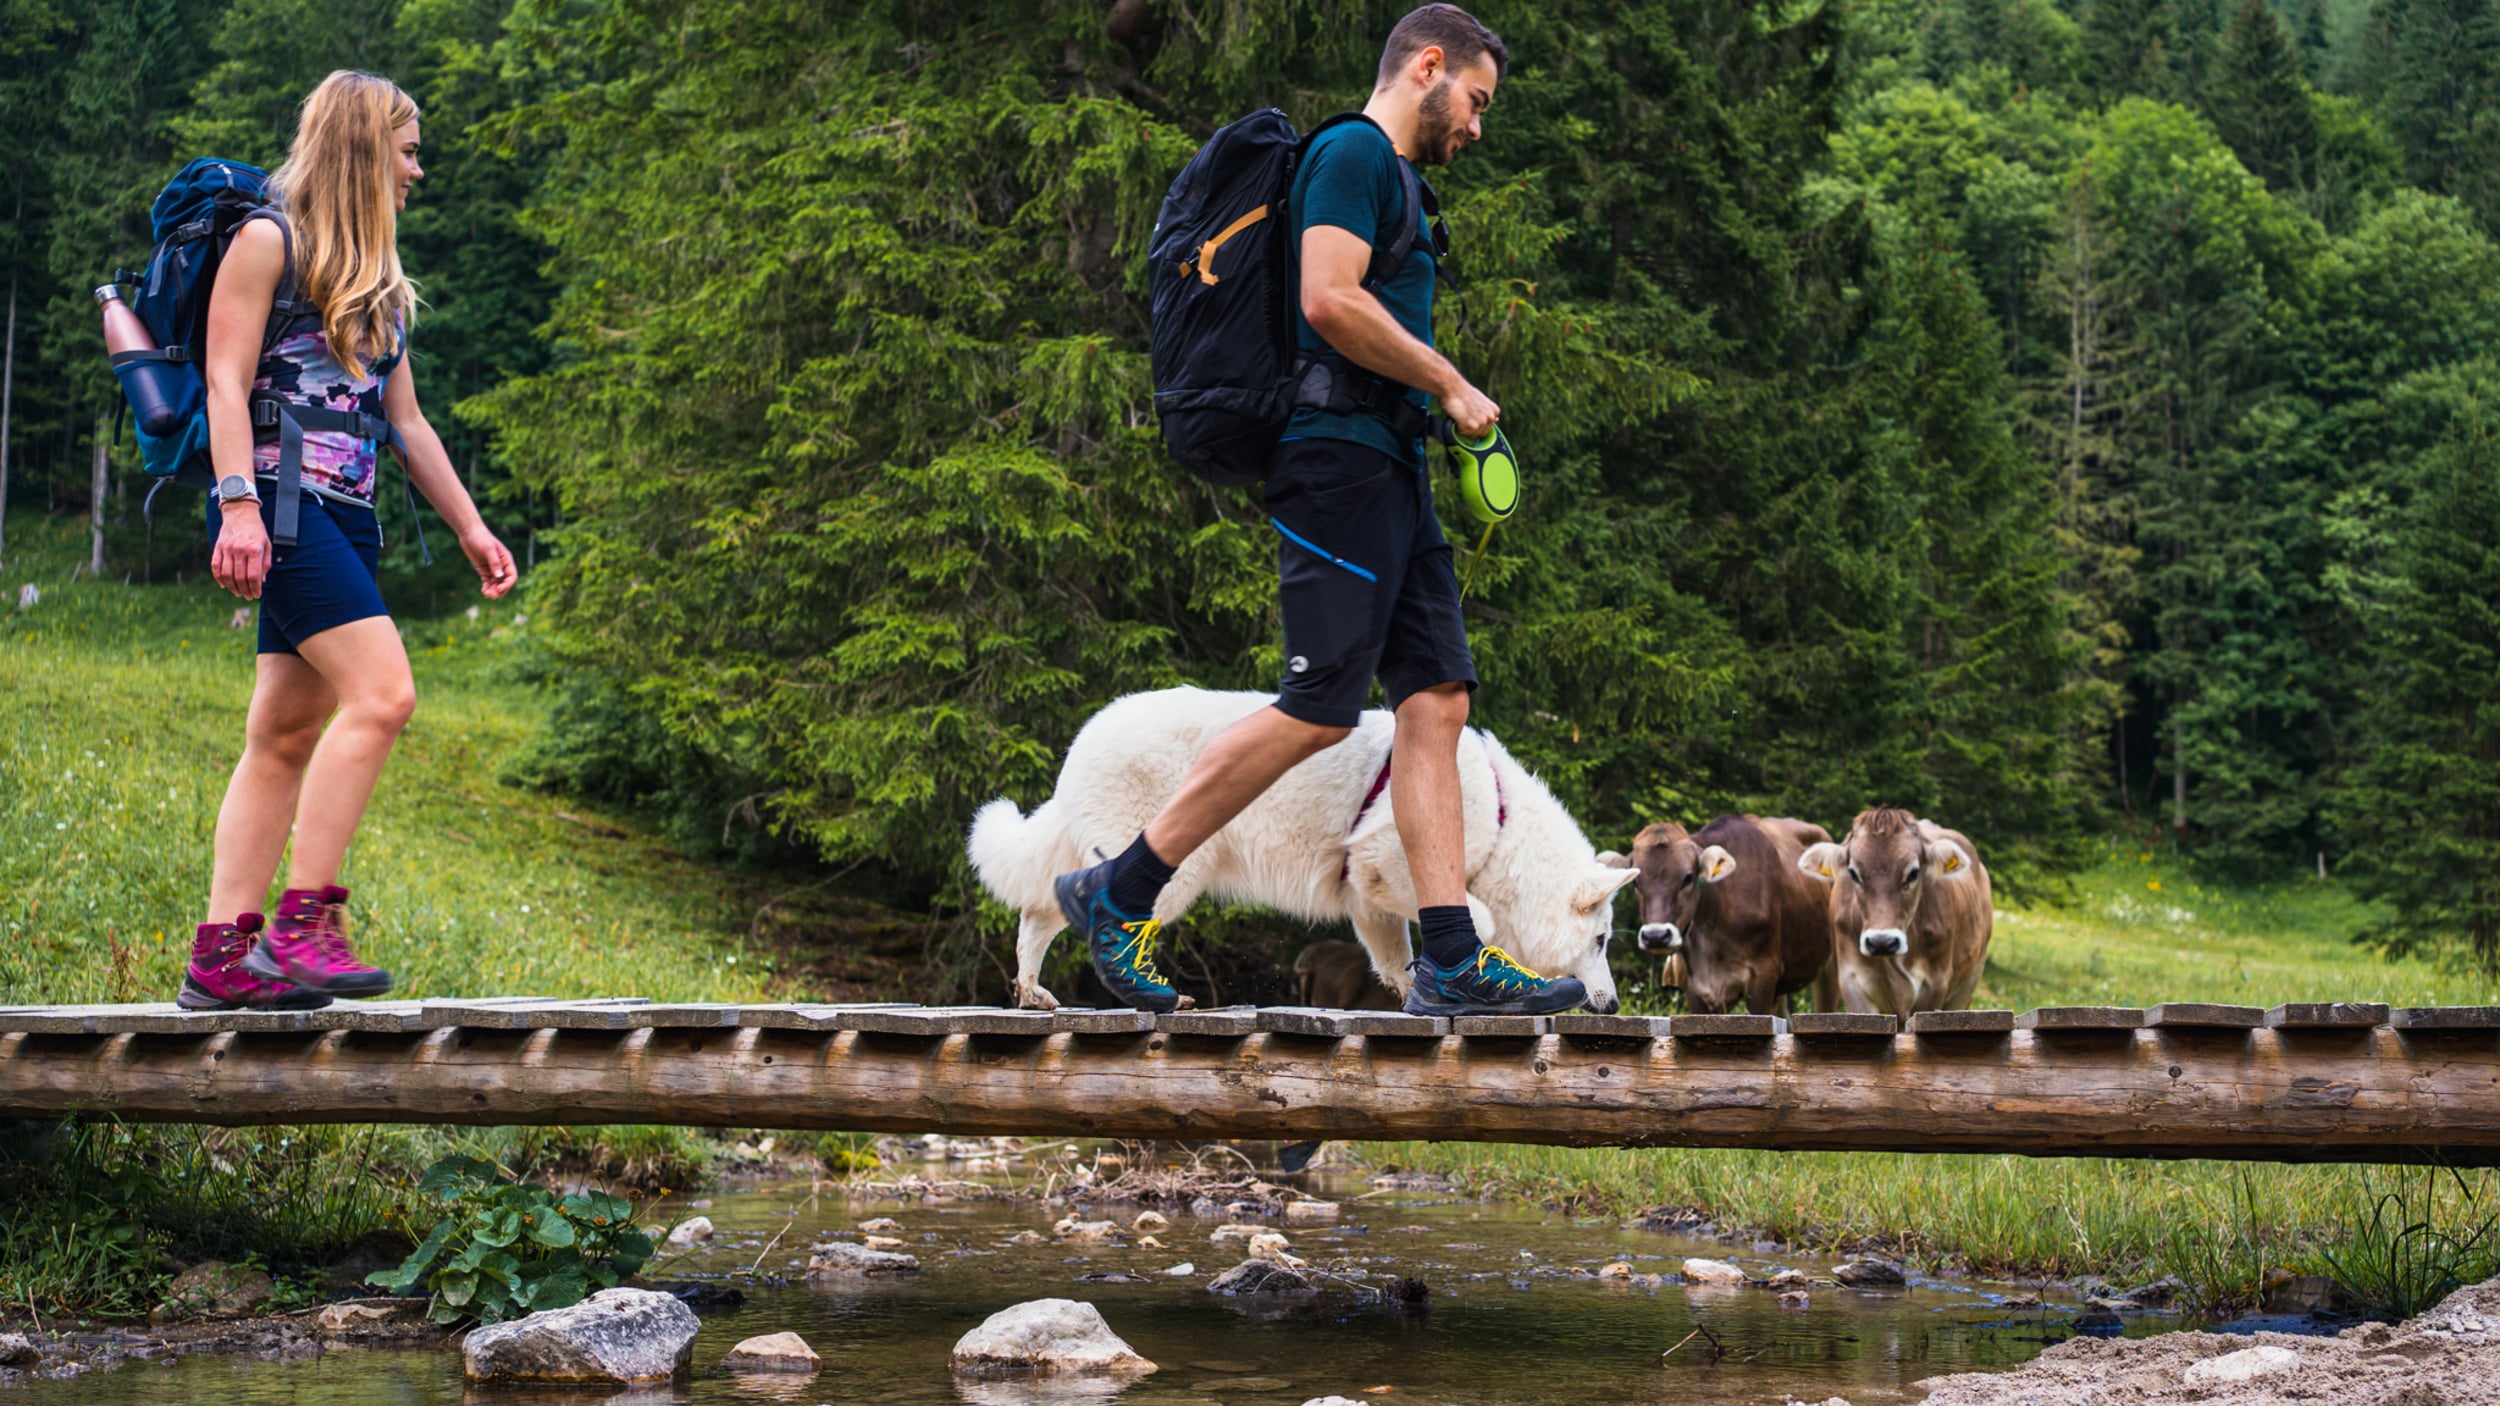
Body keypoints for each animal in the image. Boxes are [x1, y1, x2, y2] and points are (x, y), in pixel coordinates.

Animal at [960, 680, 1640, 1000]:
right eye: (1602, 940)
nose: (1609, 1006)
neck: (1501, 824)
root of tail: (1086, 738)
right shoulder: (1391, 864)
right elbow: (1478, 919)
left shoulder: (1370, 901)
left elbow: (1397, 960)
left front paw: (1419, 997)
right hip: (1175, 873)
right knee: (1093, 905)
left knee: (1041, 909)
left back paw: (1032, 992)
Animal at [1600, 815, 1840, 1010]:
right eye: (1636, 882)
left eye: (1687, 878)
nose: (1656, 936)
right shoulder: (1694, 987)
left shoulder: (1764, 975)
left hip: (1829, 968)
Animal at [1800, 805, 1990, 1010]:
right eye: (1853, 873)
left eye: (1913, 873)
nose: (1881, 942)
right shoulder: (1852, 981)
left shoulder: (1935, 984)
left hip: (1970, 980)